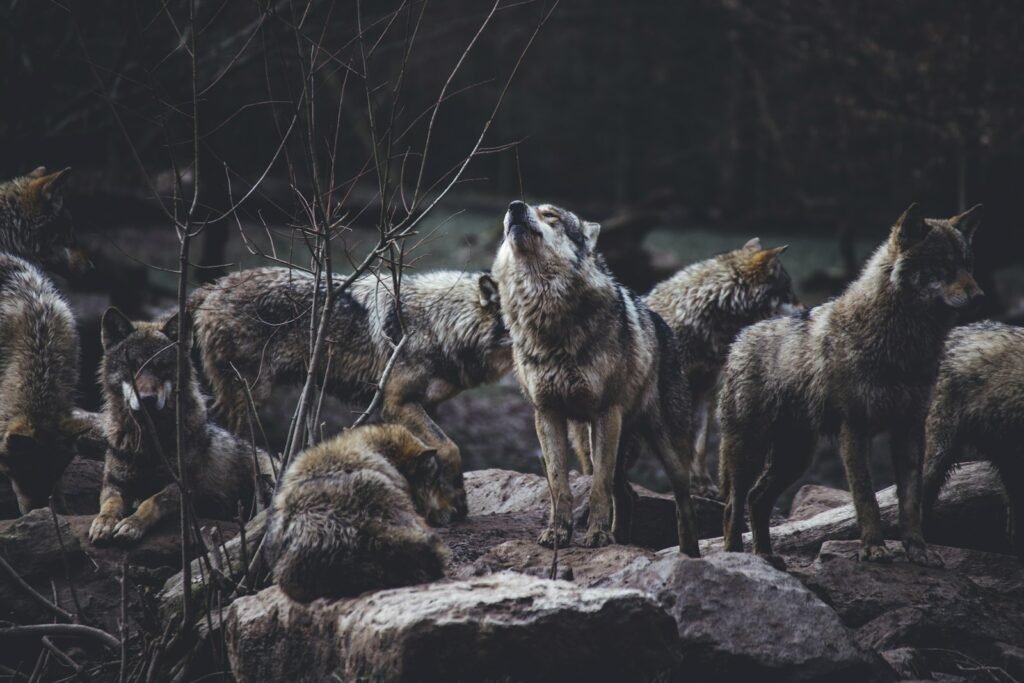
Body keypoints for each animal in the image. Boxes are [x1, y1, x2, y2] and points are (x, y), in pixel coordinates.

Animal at [88, 308, 276, 544]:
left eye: (163, 367)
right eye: (133, 366)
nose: (147, 399)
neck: (149, 441)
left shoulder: (183, 488)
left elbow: (151, 502)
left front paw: (132, 524)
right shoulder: (114, 484)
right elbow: (110, 504)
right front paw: (103, 522)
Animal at [190, 267, 512, 522]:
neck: (441, 323)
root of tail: (213, 286)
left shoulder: (427, 405)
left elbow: (433, 456)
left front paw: (444, 506)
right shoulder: (397, 402)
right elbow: (450, 448)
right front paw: (456, 502)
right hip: (250, 397)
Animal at [492, 200, 699, 555]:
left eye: (551, 214)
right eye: (520, 208)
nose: (515, 206)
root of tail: (663, 324)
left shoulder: (605, 413)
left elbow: (598, 487)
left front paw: (598, 536)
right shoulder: (547, 414)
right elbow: (559, 485)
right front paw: (558, 533)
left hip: (665, 449)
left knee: (683, 505)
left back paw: (689, 555)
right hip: (593, 441)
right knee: (627, 494)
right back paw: (622, 540)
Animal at [718, 204, 983, 566]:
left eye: (967, 264)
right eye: (942, 265)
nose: (979, 296)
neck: (903, 343)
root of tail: (740, 338)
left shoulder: (910, 429)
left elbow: (910, 502)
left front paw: (918, 550)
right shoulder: (854, 429)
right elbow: (866, 497)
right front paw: (873, 549)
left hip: (795, 457)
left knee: (757, 498)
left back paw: (766, 557)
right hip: (750, 451)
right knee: (734, 503)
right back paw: (737, 557)